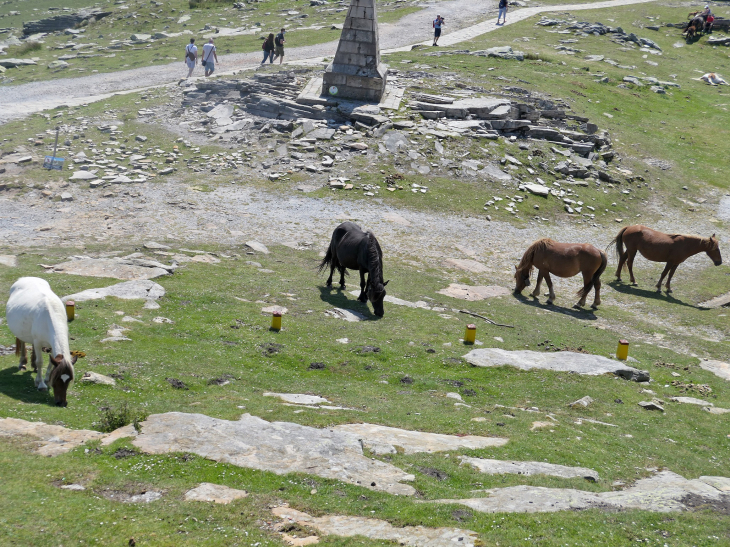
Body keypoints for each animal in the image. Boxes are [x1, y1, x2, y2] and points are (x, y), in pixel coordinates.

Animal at [6, 278, 77, 406]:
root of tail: (24, 278)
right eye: (57, 379)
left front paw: (46, 380)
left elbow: (50, 362)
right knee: (23, 343)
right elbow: (40, 362)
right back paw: (23, 364)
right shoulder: (39, 342)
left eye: (68, 379)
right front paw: (41, 384)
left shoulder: (51, 345)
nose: (61, 403)